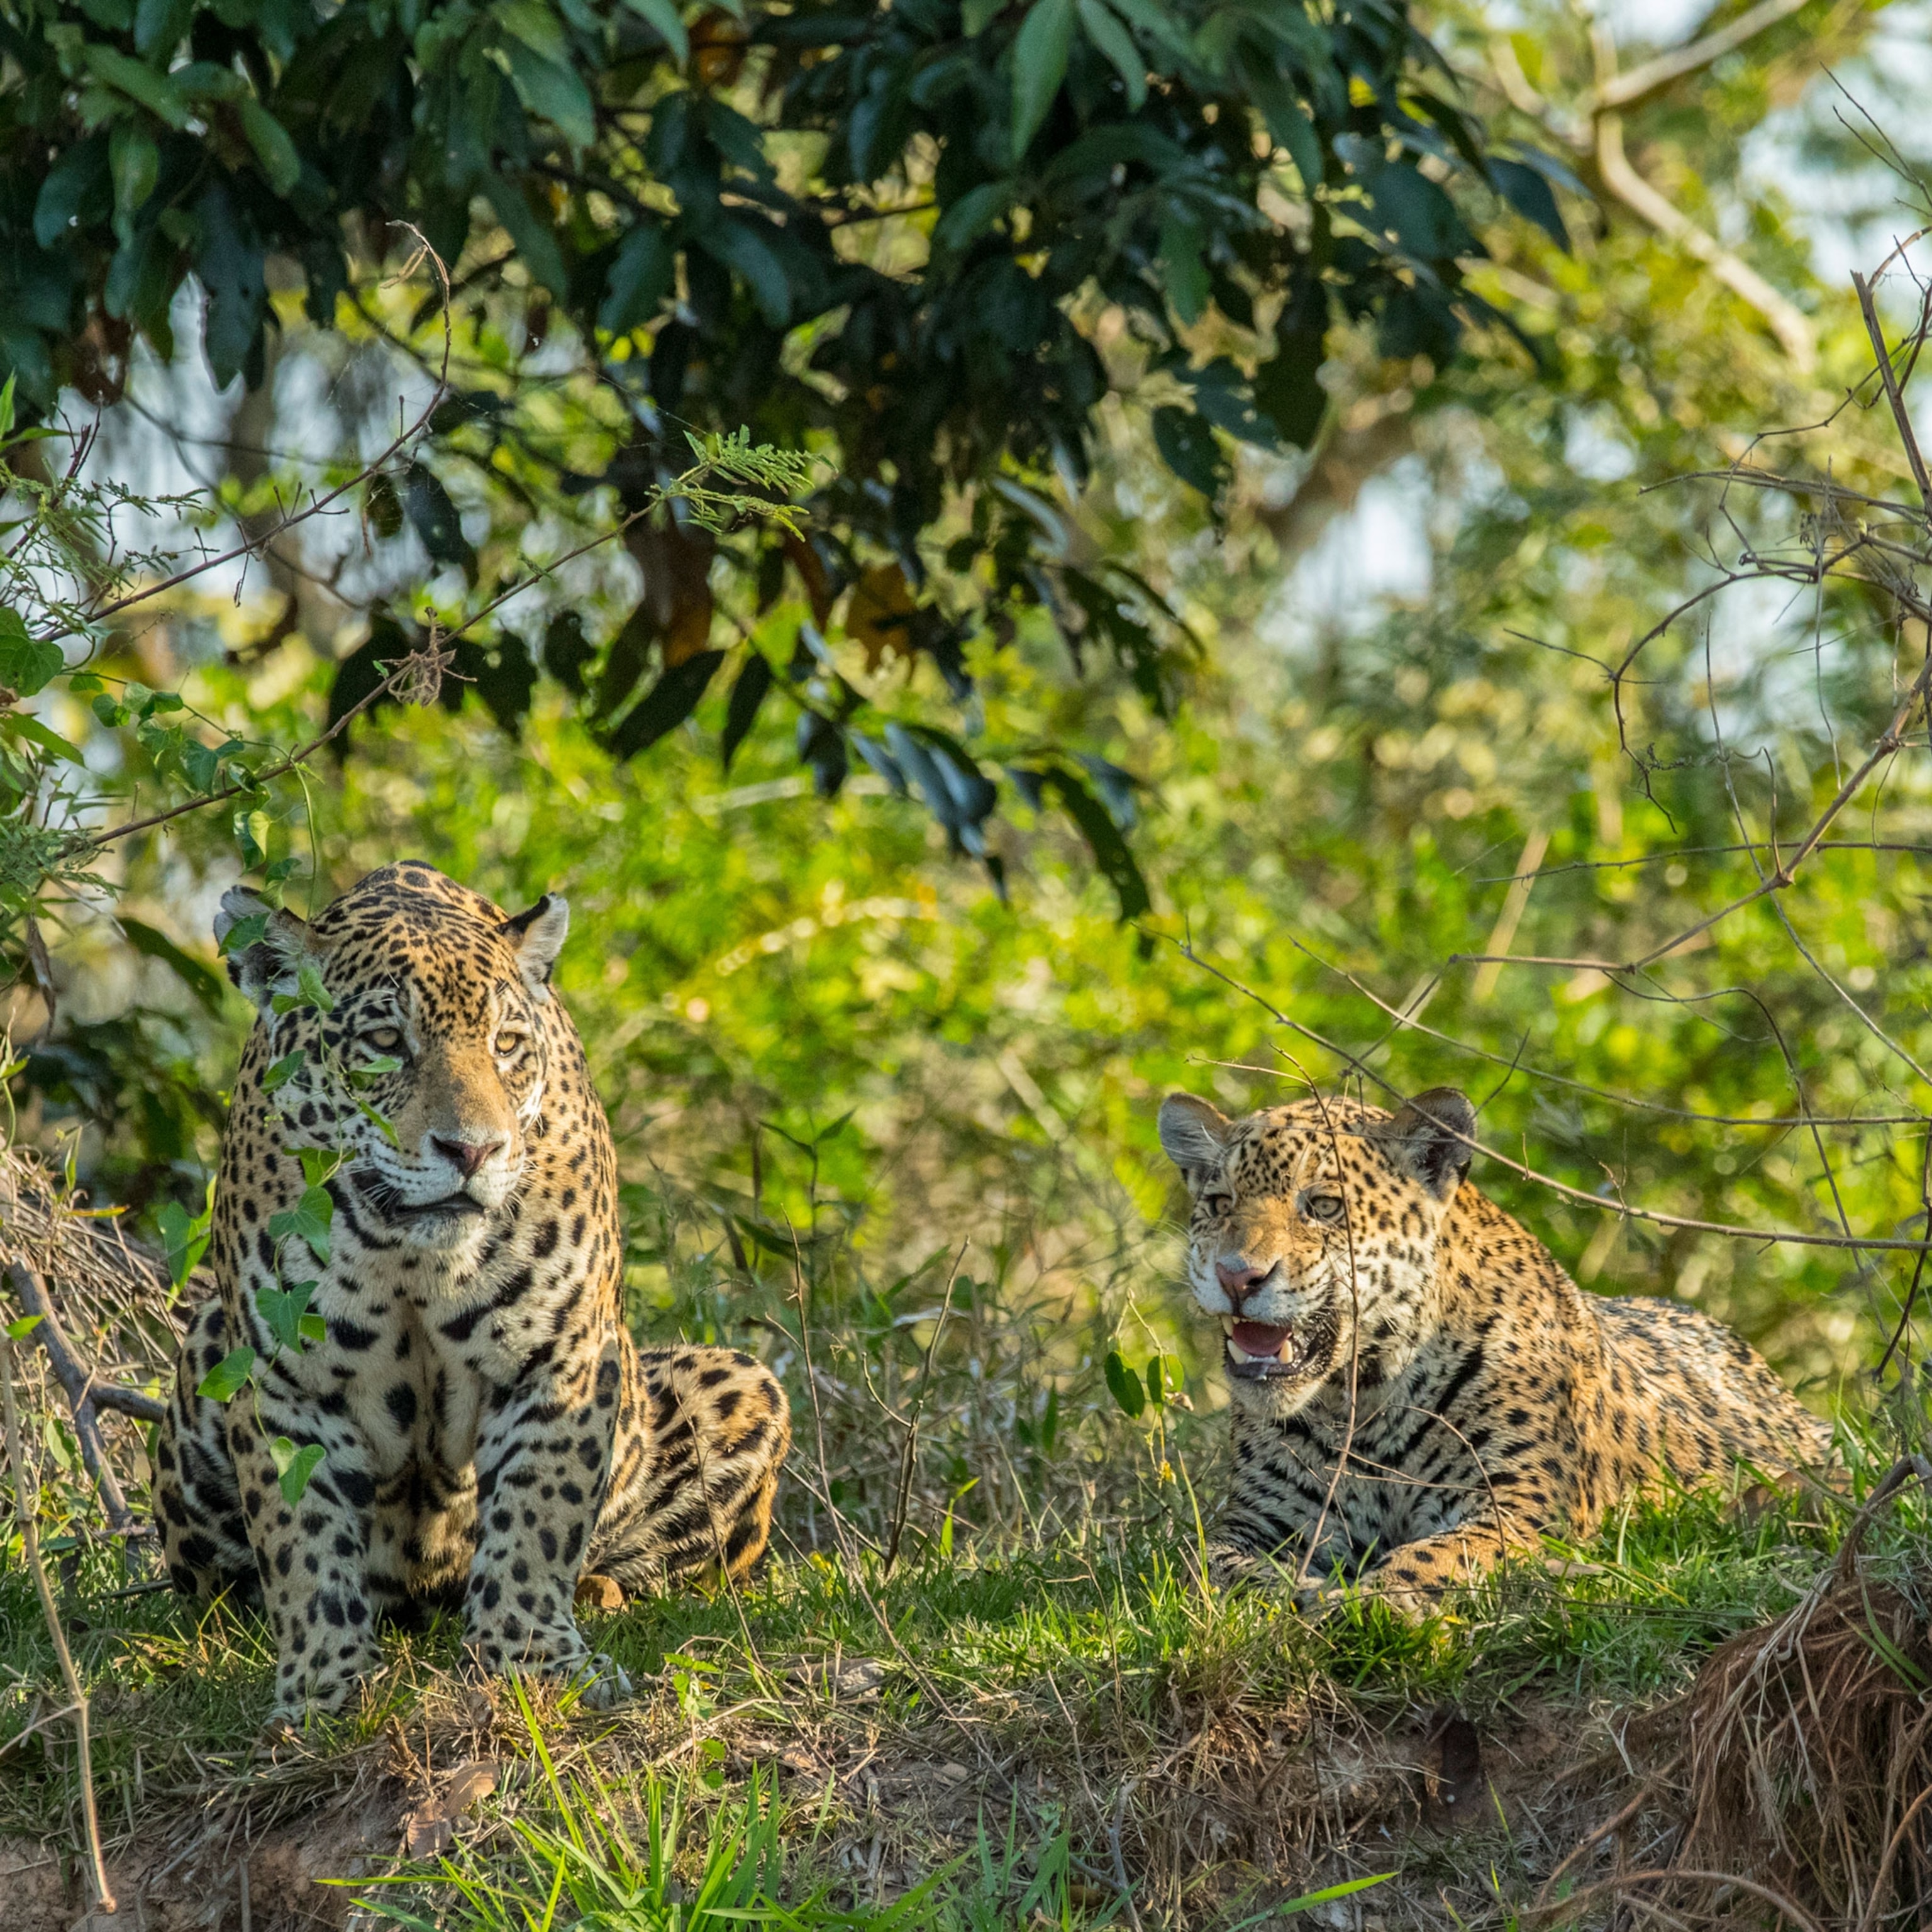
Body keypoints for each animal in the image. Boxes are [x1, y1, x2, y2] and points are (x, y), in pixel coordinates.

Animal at [154, 862, 791, 1723]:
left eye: (507, 1045)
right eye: (387, 1043)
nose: (474, 1150)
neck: (411, 1256)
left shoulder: (561, 1360)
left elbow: (537, 1517)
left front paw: (534, 1664)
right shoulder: (286, 1382)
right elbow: (304, 1543)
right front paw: (321, 1692)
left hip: (740, 1389)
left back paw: (595, 1593)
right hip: (202, 1373)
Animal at [1157, 1085, 1832, 1610]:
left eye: (1324, 1206)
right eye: (1219, 1204)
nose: (1237, 1276)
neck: (1365, 1400)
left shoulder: (1516, 1503)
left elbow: (1437, 1557)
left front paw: (1371, 1603)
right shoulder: (1257, 1521)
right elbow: (1210, 1566)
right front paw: (1292, 1593)